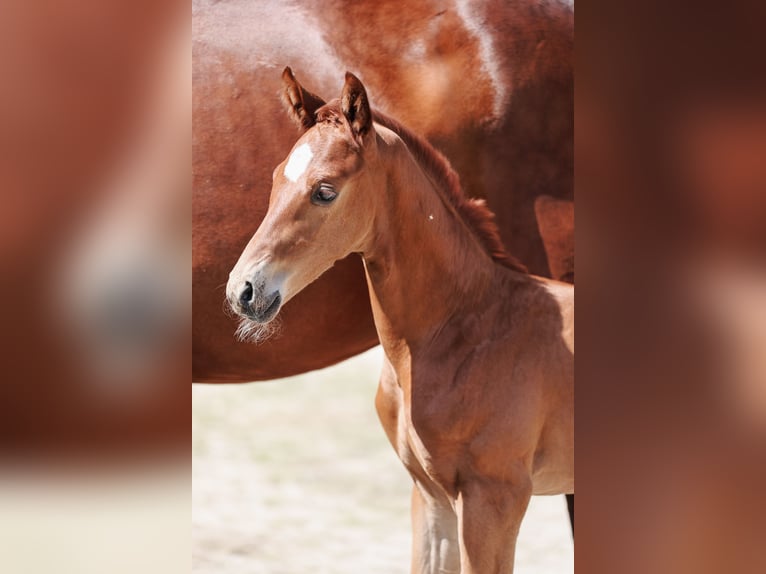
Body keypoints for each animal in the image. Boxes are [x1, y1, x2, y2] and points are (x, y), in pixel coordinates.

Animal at [228, 72, 576, 574]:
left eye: (325, 190)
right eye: (276, 177)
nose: (243, 290)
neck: (472, 326)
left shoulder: (496, 498)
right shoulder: (430, 495)